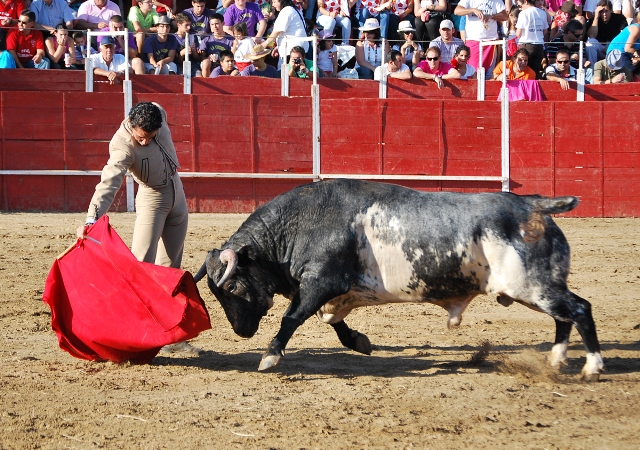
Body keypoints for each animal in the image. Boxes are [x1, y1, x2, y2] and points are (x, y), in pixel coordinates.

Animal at [192, 179, 604, 380]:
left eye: (231, 287)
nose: (241, 332)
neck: (296, 225)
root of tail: (534, 204)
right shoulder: (331, 291)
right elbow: (333, 323)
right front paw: (360, 342)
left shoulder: (323, 281)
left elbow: (292, 317)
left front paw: (269, 356)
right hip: (536, 289)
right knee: (564, 317)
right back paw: (557, 360)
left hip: (532, 286)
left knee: (579, 309)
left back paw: (591, 367)